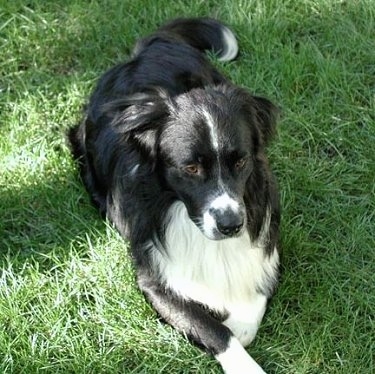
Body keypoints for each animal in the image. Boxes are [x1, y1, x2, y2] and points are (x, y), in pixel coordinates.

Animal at [69, 18, 280, 374]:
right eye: (191, 168)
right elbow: (213, 328)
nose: (231, 226)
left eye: (240, 161)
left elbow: (257, 291)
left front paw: (240, 321)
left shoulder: (266, 243)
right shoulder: (154, 278)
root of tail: (148, 48)